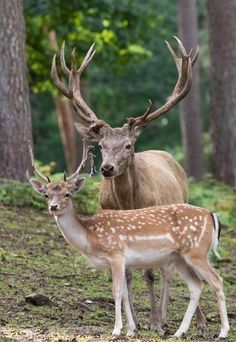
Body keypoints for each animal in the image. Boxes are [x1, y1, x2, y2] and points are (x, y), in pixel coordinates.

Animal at [28, 141, 230, 340]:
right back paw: (179, 332)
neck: (90, 237)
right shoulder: (117, 263)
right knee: (196, 285)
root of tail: (212, 215)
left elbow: (117, 292)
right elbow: (125, 292)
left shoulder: (116, 254)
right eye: (46, 194)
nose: (53, 207)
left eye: (67, 194)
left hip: (197, 252)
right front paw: (131, 329)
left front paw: (116, 330)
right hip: (180, 258)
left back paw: (222, 332)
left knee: (217, 280)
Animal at [50, 36, 206, 332]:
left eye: (128, 145)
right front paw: (135, 322)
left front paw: (154, 321)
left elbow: (149, 275)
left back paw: (189, 321)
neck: (127, 203)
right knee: (169, 268)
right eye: (101, 145)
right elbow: (128, 277)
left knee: (169, 270)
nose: (106, 168)